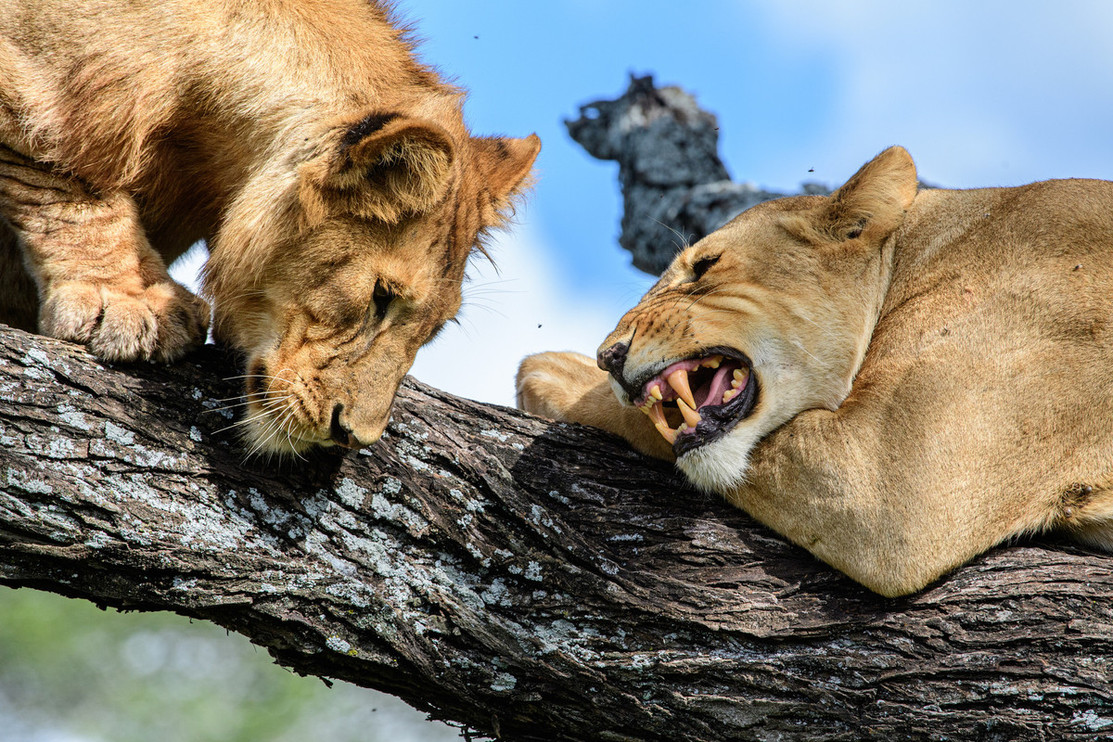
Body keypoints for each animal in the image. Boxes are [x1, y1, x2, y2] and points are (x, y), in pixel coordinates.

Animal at [0, 0, 539, 455]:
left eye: (436, 329)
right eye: (380, 296)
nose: (351, 438)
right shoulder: (36, 91)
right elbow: (68, 181)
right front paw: (132, 300)